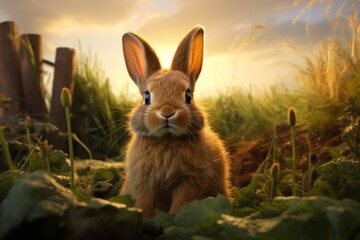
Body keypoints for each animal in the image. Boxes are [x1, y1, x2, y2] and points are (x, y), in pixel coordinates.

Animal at [120, 25, 231, 217]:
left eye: (188, 96)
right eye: (147, 97)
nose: (167, 112)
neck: (167, 139)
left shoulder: (191, 181)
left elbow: (181, 204)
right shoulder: (144, 183)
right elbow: (144, 203)